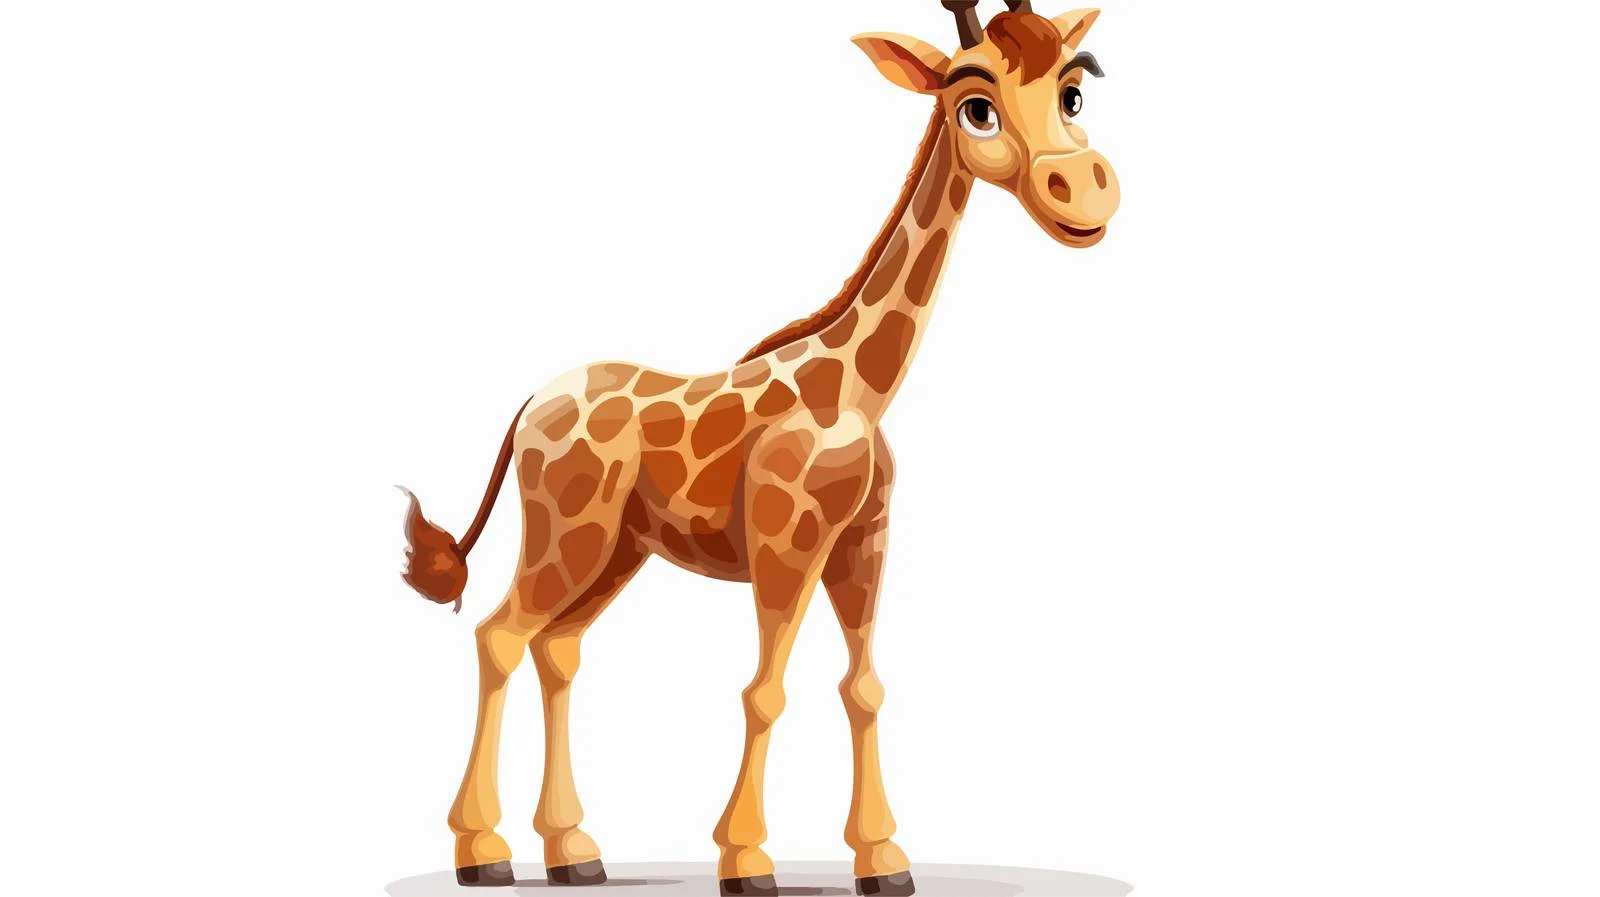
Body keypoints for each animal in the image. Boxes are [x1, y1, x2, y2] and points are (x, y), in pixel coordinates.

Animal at [398, 3, 1119, 895]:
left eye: (1074, 91)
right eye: (974, 106)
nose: (1085, 191)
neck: (858, 388)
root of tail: (532, 403)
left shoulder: (862, 545)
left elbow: (864, 687)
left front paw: (884, 860)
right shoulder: (786, 542)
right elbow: (765, 690)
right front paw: (746, 861)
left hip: (617, 550)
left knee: (557, 648)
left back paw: (574, 850)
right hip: (567, 534)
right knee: (498, 635)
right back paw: (483, 851)